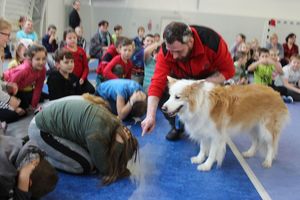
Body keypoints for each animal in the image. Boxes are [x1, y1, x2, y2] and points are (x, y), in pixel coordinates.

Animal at [162, 76, 290, 170]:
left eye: (177, 97)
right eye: (170, 96)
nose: (163, 108)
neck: (200, 103)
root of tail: (275, 92)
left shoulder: (216, 135)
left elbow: (212, 152)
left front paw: (207, 165)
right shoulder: (203, 131)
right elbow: (203, 148)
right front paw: (199, 159)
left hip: (266, 129)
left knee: (271, 145)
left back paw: (268, 161)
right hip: (253, 127)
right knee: (256, 141)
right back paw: (249, 153)